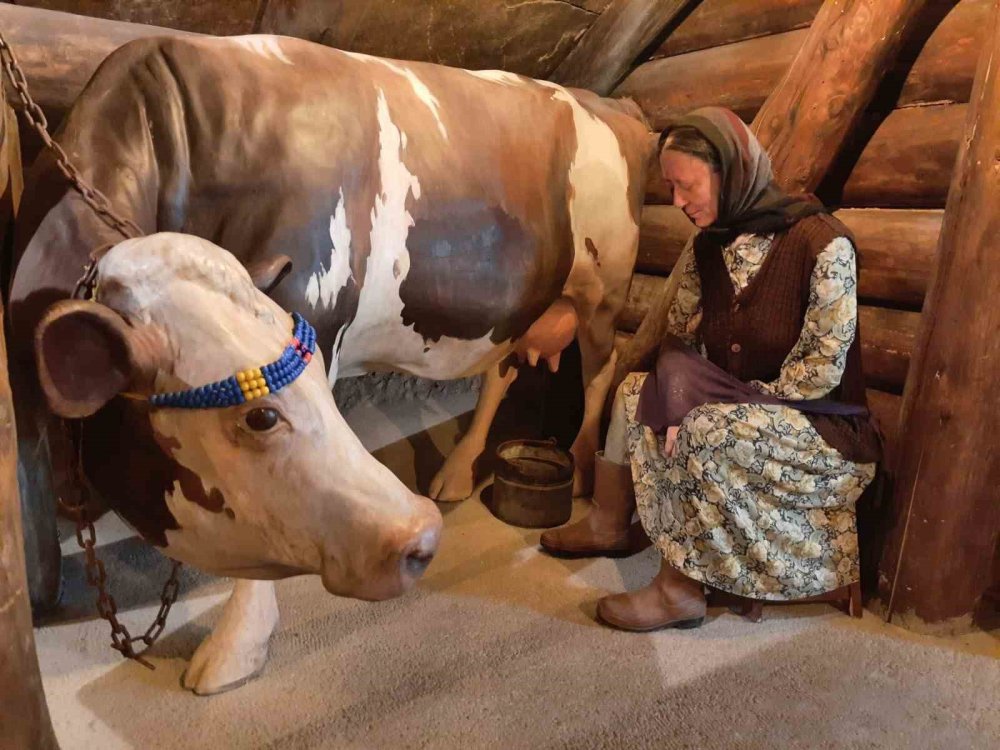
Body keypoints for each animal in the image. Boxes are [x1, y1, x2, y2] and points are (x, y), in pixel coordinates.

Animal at [9, 33, 648, 692]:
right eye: (260, 417)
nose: (420, 538)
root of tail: (608, 101)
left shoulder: (318, 309)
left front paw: (236, 648)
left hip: (606, 287)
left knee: (601, 368)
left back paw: (579, 465)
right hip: (523, 302)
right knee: (503, 370)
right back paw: (457, 472)